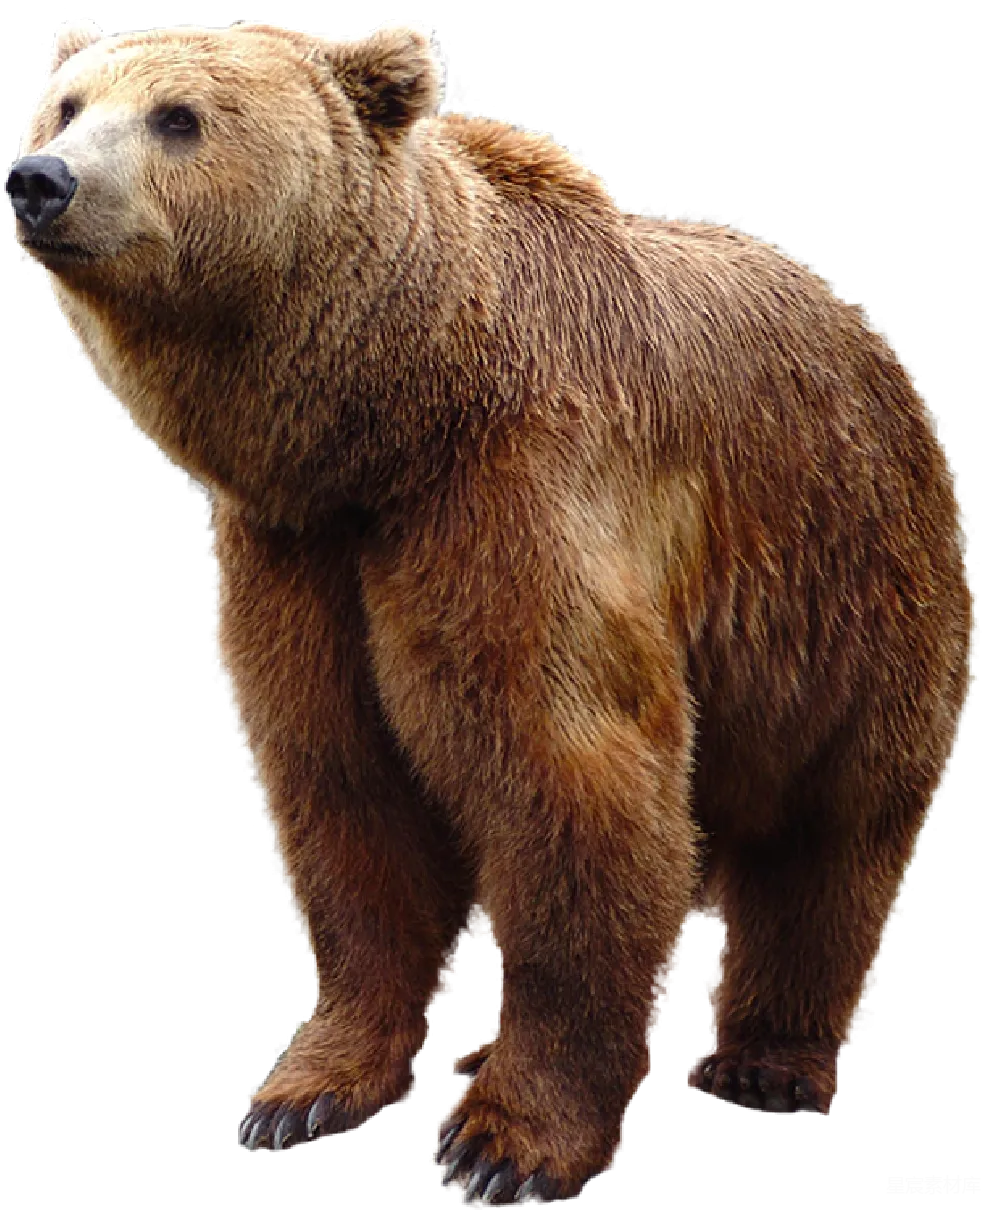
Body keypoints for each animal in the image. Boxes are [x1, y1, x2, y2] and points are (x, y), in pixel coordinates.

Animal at [6, 16, 974, 1206]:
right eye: (67, 104)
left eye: (177, 117)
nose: (40, 180)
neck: (386, 418)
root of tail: (870, 336)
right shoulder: (301, 555)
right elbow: (345, 794)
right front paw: (302, 1094)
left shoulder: (515, 496)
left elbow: (569, 773)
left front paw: (504, 1144)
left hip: (846, 589)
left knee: (828, 836)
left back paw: (763, 1062)